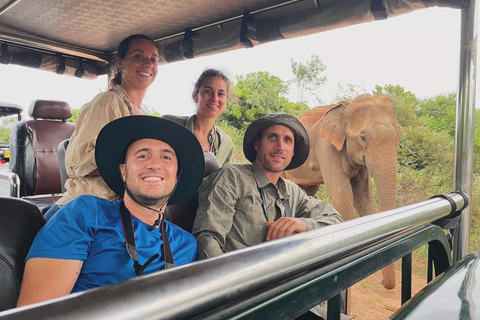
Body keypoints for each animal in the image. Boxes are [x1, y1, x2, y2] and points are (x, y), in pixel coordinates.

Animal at [284, 93, 404, 290]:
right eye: (363, 138)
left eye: (399, 136)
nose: (383, 282)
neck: (346, 108)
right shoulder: (325, 146)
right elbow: (342, 196)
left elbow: (364, 199)